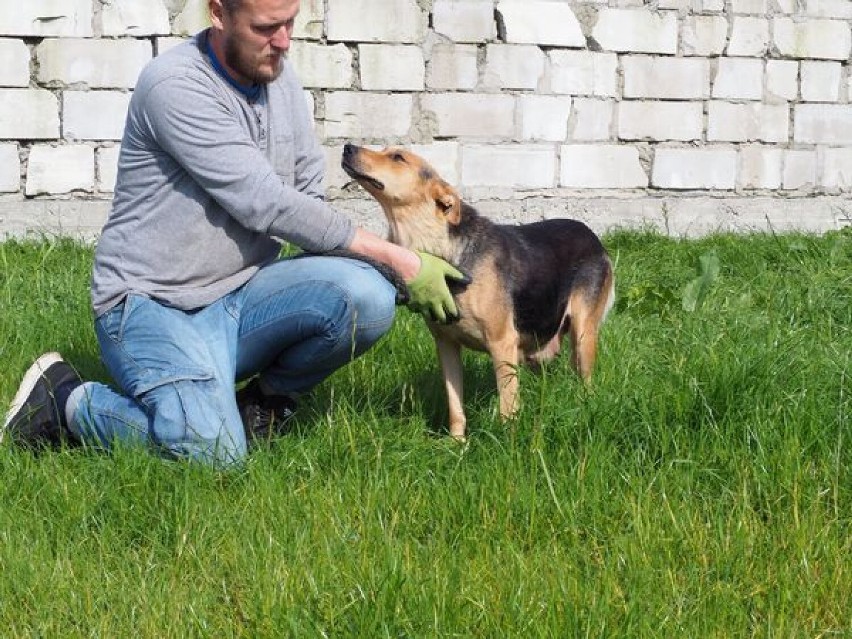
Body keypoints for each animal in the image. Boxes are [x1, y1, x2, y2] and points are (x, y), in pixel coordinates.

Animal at [340, 144, 612, 440]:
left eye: (397, 157)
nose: (348, 147)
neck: (438, 246)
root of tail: (591, 234)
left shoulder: (502, 343)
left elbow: (507, 406)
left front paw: (507, 442)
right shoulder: (446, 344)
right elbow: (455, 404)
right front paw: (457, 443)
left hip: (583, 333)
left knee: (586, 381)